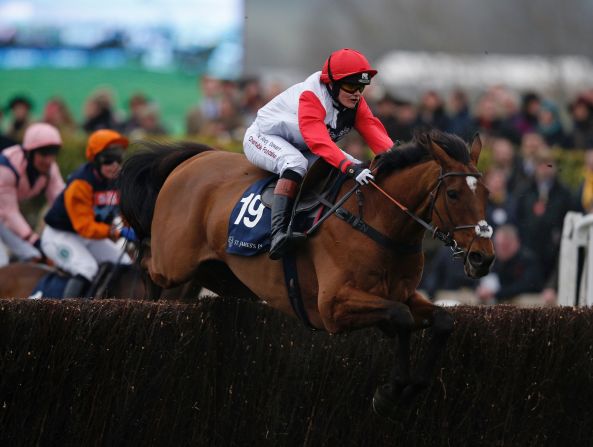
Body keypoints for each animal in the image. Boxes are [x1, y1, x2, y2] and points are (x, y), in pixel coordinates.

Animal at [117, 130, 494, 416]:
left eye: (487, 193)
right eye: (453, 193)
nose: (483, 258)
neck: (376, 221)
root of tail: (194, 159)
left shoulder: (402, 294)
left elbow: (442, 321)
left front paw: (411, 388)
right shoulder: (333, 307)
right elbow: (399, 317)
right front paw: (390, 393)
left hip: (218, 274)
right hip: (173, 262)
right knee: (148, 264)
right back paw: (145, 298)